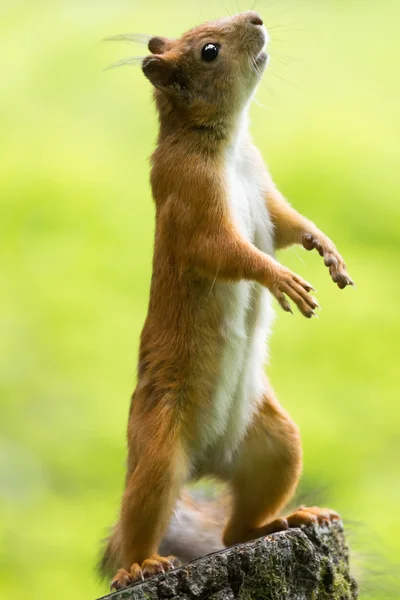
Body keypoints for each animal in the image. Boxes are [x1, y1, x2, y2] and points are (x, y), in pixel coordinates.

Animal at [100, 9, 354, 592]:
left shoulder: (265, 189)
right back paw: (139, 565)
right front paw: (280, 279)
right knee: (142, 513)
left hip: (274, 444)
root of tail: (205, 464)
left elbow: (288, 225)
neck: (231, 146)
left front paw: (325, 249)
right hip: (157, 448)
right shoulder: (190, 196)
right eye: (209, 51)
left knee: (236, 529)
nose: (255, 16)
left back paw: (288, 520)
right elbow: (222, 250)